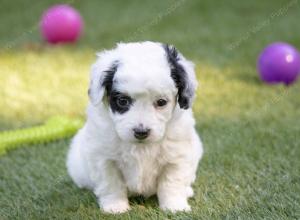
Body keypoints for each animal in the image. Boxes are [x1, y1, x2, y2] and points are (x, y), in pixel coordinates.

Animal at [67, 41, 204, 213]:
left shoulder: (177, 156)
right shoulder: (104, 159)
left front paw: (175, 207)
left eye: (161, 102)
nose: (141, 132)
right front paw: (115, 207)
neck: (140, 146)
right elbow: (111, 184)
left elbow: (172, 182)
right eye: (122, 101)